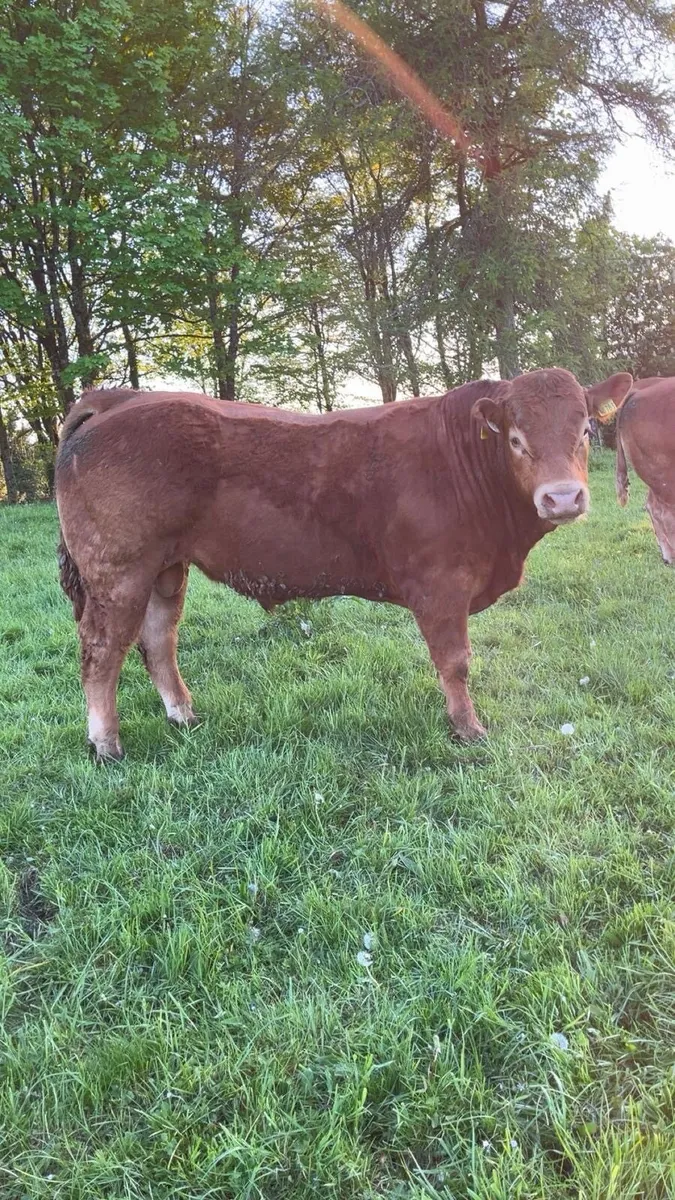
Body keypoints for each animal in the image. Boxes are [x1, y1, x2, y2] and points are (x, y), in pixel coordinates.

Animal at [55, 368, 633, 761]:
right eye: (516, 439)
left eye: (585, 431)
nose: (563, 497)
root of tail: (120, 397)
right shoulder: (441, 585)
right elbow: (456, 662)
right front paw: (467, 730)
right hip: (119, 570)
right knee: (101, 651)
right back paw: (106, 744)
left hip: (166, 568)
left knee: (158, 639)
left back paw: (184, 715)